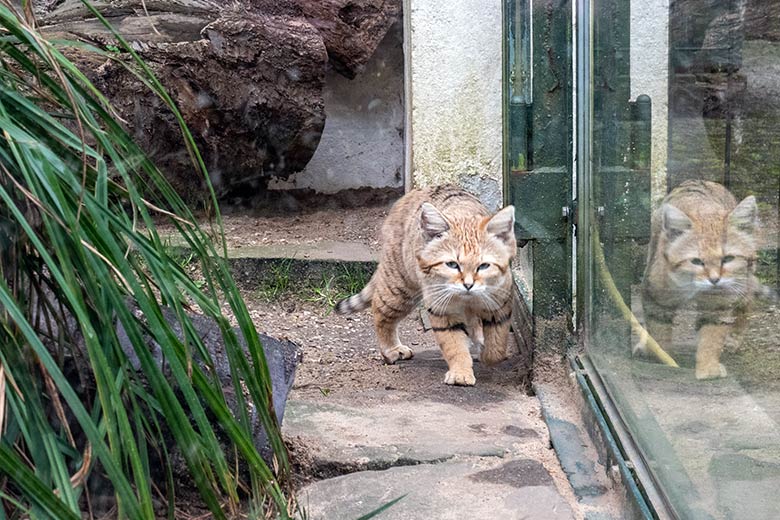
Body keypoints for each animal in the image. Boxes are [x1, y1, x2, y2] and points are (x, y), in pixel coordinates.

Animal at [336, 187, 516, 386]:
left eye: (484, 266)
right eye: (452, 264)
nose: (468, 285)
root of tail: (414, 192)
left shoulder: (500, 303)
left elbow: (497, 344)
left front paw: (486, 355)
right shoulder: (442, 309)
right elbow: (454, 345)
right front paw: (460, 373)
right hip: (400, 286)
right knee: (380, 308)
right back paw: (391, 349)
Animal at [636, 181, 760, 380]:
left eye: (728, 259)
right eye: (696, 261)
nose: (715, 280)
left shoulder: (721, 300)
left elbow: (712, 334)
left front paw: (708, 369)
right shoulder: (655, 295)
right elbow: (659, 330)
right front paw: (664, 359)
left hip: (742, 281)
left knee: (747, 301)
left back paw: (734, 338)